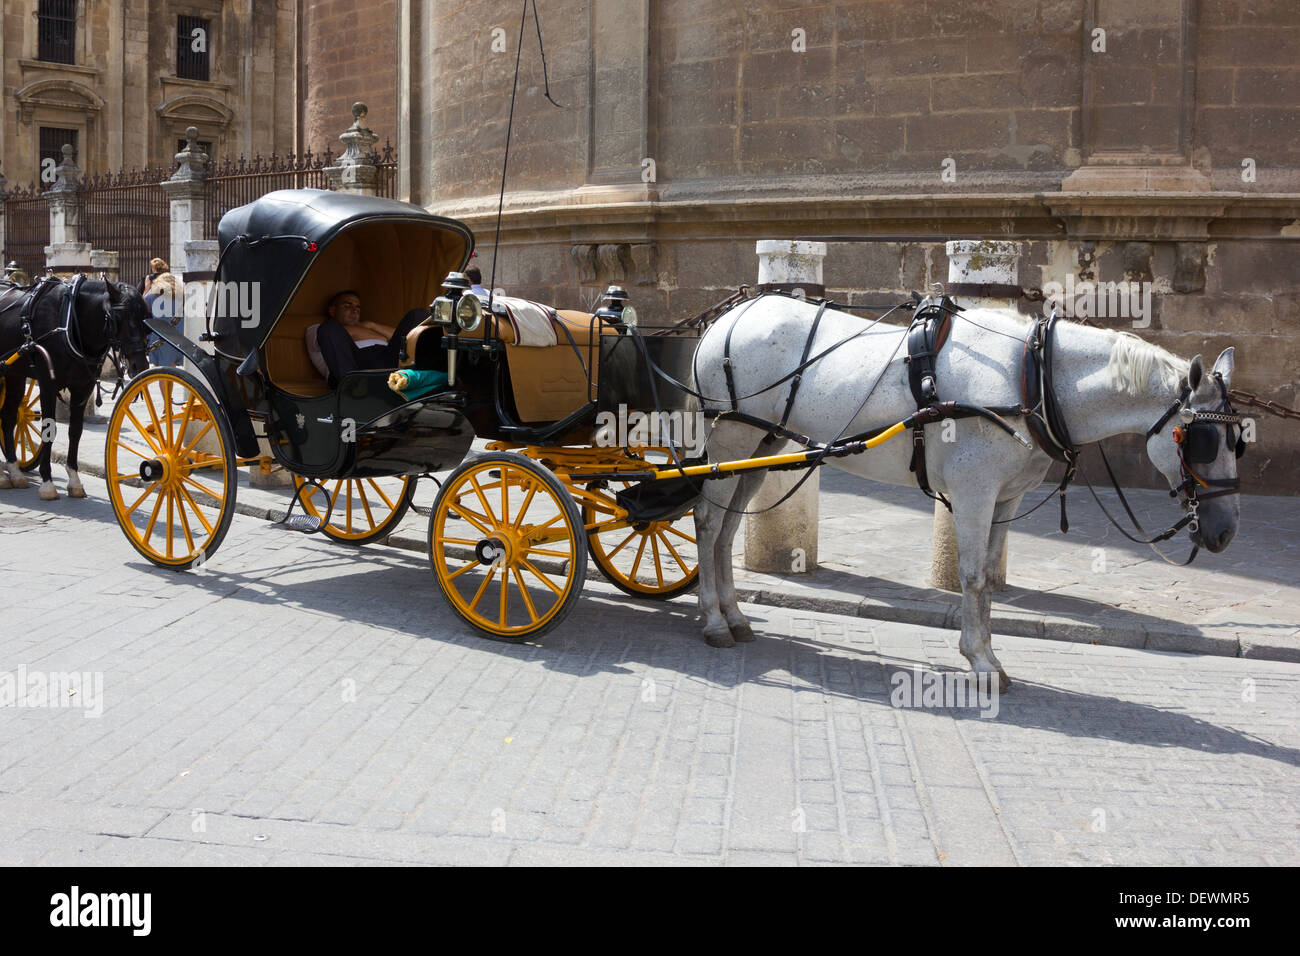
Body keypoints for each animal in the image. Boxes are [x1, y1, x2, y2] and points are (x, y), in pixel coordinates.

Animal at [1, 274, 149, 502]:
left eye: (145, 317)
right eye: (118, 317)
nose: (139, 365)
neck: (69, 319)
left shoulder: (83, 387)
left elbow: (75, 431)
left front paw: (74, 480)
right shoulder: (47, 383)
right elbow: (49, 428)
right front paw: (47, 483)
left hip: (14, 374)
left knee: (7, 417)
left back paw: (15, 471)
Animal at [686, 295, 1242, 691]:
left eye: (1239, 438)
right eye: (1202, 439)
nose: (1225, 533)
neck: (1032, 381)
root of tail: (727, 318)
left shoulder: (1006, 497)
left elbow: (990, 579)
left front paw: (988, 653)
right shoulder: (975, 493)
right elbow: (972, 577)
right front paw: (981, 662)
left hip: (762, 445)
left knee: (728, 528)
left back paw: (734, 615)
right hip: (731, 438)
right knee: (709, 524)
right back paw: (712, 620)